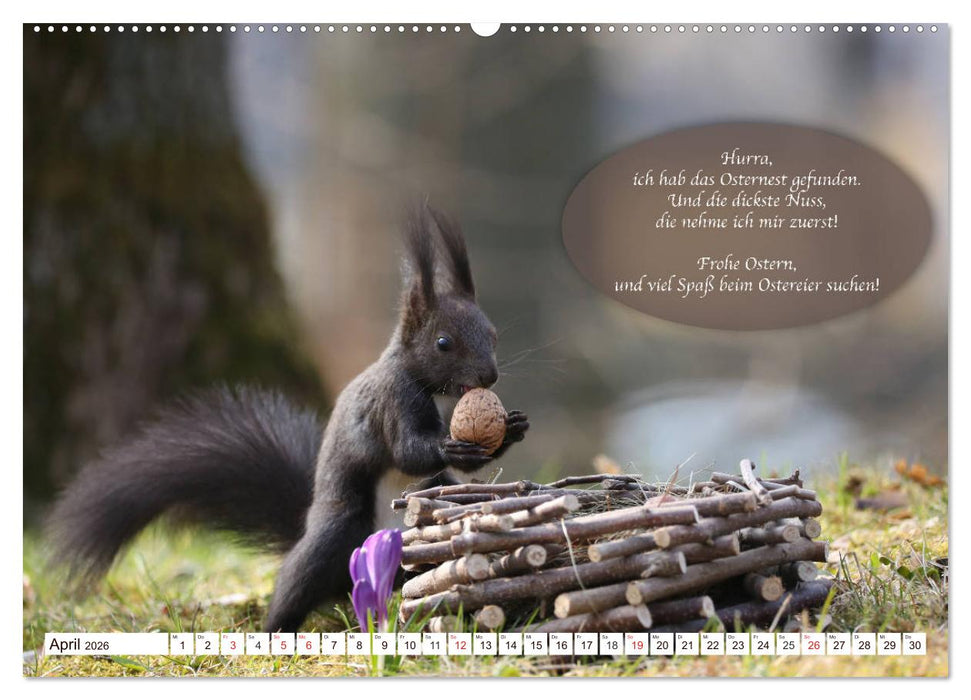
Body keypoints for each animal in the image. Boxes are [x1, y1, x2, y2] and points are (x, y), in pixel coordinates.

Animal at [46, 203, 529, 633]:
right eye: (443, 343)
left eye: (493, 335)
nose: (489, 375)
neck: (419, 379)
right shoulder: (390, 400)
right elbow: (408, 451)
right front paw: (451, 445)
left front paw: (512, 429)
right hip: (335, 535)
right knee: (297, 583)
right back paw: (277, 628)